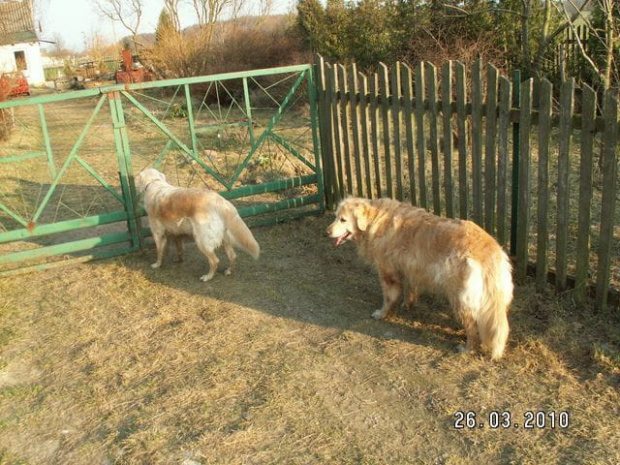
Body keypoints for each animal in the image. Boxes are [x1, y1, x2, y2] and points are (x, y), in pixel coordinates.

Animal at [326, 196, 512, 358]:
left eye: (343, 220)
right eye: (335, 217)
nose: (327, 232)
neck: (376, 220)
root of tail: (489, 250)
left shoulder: (387, 273)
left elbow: (388, 298)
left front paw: (382, 313)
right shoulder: (409, 270)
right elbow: (410, 291)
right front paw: (407, 305)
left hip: (459, 298)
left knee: (473, 328)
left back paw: (467, 349)